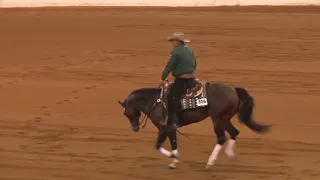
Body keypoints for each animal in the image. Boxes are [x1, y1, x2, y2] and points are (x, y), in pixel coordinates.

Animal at [117, 81, 270, 169]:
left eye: (126, 112)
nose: (134, 128)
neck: (156, 101)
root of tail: (233, 90)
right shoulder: (170, 129)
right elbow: (173, 143)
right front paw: (174, 161)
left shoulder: (165, 127)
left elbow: (158, 145)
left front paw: (173, 158)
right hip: (225, 119)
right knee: (234, 132)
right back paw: (230, 154)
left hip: (218, 120)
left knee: (221, 138)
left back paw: (210, 163)